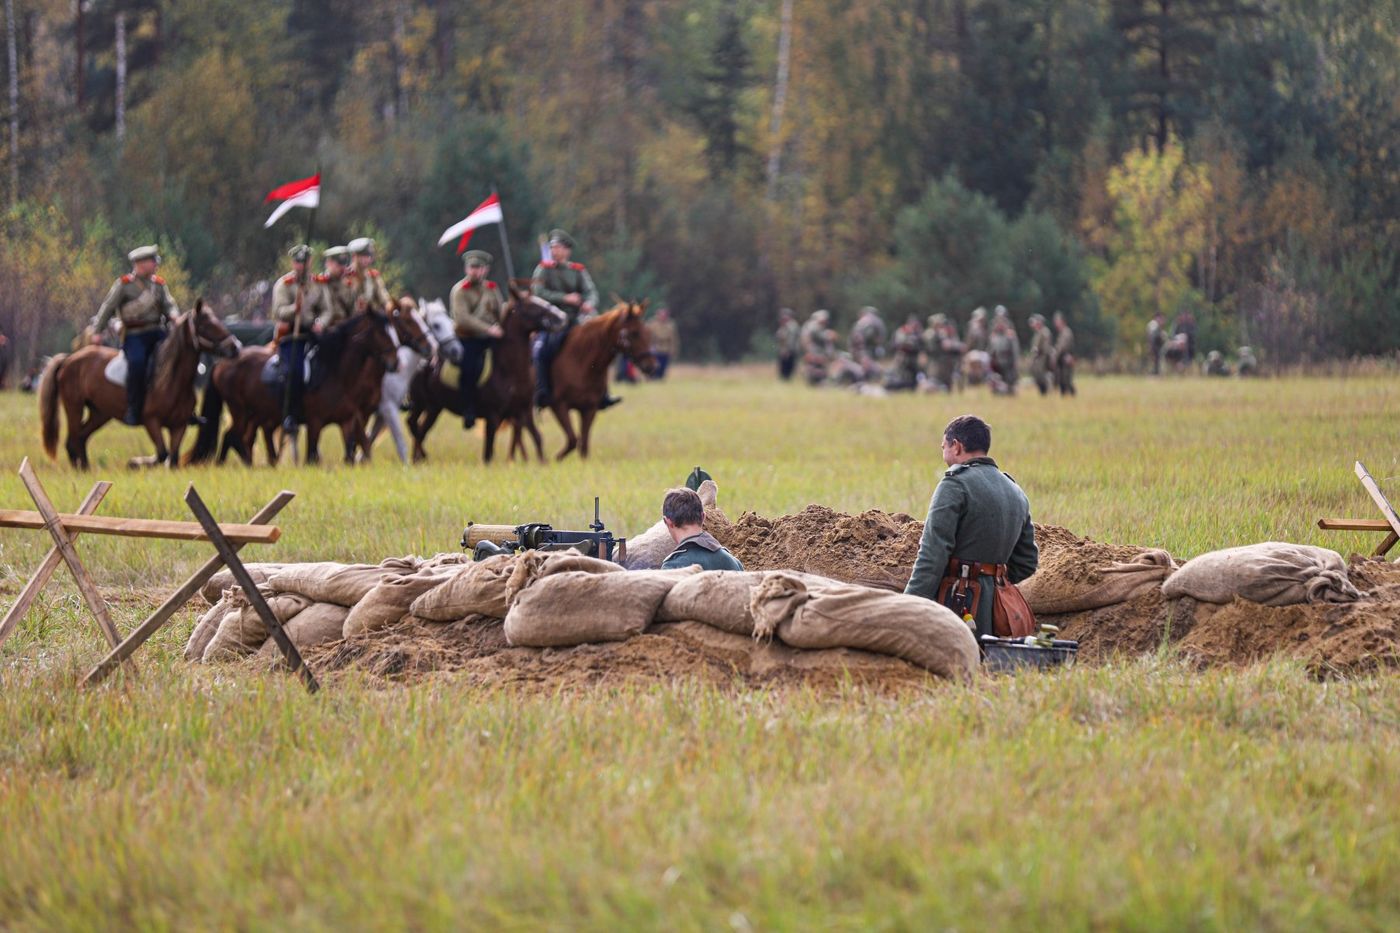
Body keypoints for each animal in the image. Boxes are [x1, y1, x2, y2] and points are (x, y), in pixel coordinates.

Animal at [38, 301, 240, 467]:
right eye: (205, 325)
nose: (235, 347)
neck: (171, 380)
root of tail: (69, 359)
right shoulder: (152, 422)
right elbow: (162, 454)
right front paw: (135, 462)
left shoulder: (179, 426)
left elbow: (172, 458)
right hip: (74, 407)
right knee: (72, 442)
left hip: (100, 413)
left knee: (81, 438)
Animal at [189, 308, 403, 465]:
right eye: (381, 332)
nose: (395, 362)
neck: (336, 372)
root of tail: (223, 362)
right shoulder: (315, 423)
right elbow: (312, 457)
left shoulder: (347, 422)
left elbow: (350, 455)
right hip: (240, 411)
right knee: (232, 437)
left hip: (255, 413)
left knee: (238, 438)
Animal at [403, 280, 565, 462]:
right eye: (532, 306)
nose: (561, 317)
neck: (509, 369)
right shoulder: (493, 416)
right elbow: (488, 453)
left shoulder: (523, 412)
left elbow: (538, 439)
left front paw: (543, 462)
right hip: (420, 403)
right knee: (412, 424)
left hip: (434, 407)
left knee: (421, 430)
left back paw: (418, 458)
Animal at [546, 299, 655, 459]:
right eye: (634, 333)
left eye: (648, 332)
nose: (652, 365)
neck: (581, 362)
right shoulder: (558, 405)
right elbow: (572, 440)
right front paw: (552, 459)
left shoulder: (589, 408)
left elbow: (583, 445)